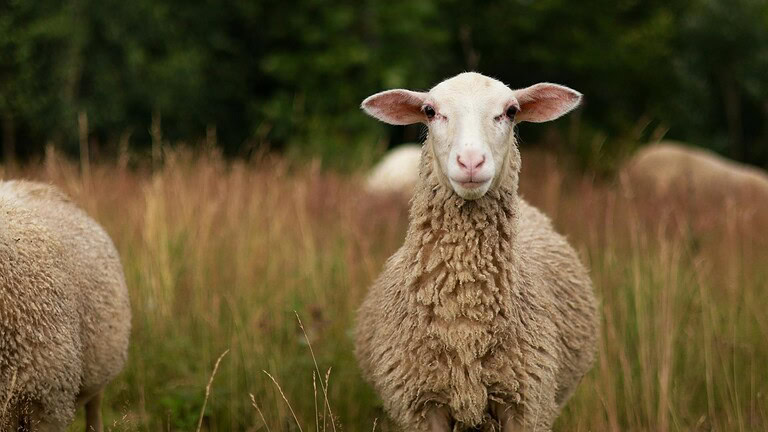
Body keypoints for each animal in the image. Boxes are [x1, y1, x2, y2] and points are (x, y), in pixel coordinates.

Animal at [354, 72, 598, 431]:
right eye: (430, 111)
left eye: (511, 111)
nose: (471, 162)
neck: (465, 316)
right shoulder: (422, 406)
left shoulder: (524, 404)